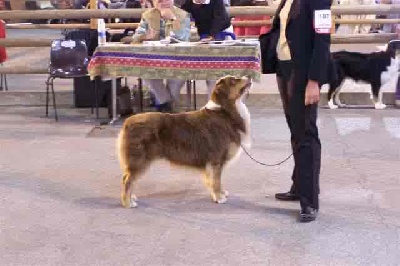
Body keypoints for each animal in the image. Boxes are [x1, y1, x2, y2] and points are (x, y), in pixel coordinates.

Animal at [117, 75, 252, 208]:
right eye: (234, 80)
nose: (249, 76)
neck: (225, 111)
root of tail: (127, 122)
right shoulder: (216, 159)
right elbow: (216, 180)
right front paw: (219, 197)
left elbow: (215, 180)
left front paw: (222, 193)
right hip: (140, 159)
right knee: (127, 179)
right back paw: (128, 202)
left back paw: (131, 197)